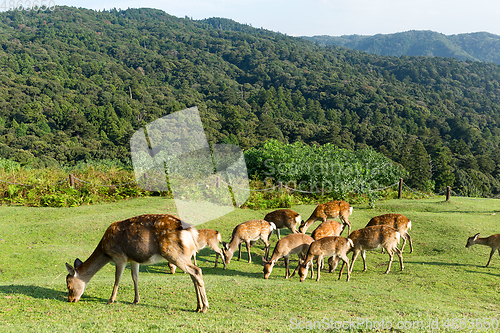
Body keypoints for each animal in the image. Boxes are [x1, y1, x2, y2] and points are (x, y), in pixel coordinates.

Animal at [65, 214, 209, 312]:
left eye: (69, 285)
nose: (71, 300)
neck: (105, 250)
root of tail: (191, 232)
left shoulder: (120, 257)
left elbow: (117, 278)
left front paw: (110, 300)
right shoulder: (133, 259)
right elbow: (135, 277)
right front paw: (136, 300)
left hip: (173, 253)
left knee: (197, 271)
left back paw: (205, 307)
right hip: (185, 254)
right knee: (193, 274)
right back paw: (198, 306)